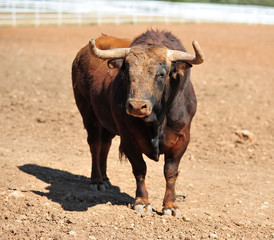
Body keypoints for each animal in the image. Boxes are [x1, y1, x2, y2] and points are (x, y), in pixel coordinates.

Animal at [71, 29, 204, 216]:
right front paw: (143, 202)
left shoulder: (182, 139)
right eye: (127, 72)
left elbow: (170, 172)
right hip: (89, 115)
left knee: (105, 145)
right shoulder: (128, 138)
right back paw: (97, 180)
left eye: (161, 74)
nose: (136, 106)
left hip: (106, 123)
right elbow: (140, 169)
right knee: (95, 144)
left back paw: (105, 178)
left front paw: (170, 206)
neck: (157, 118)